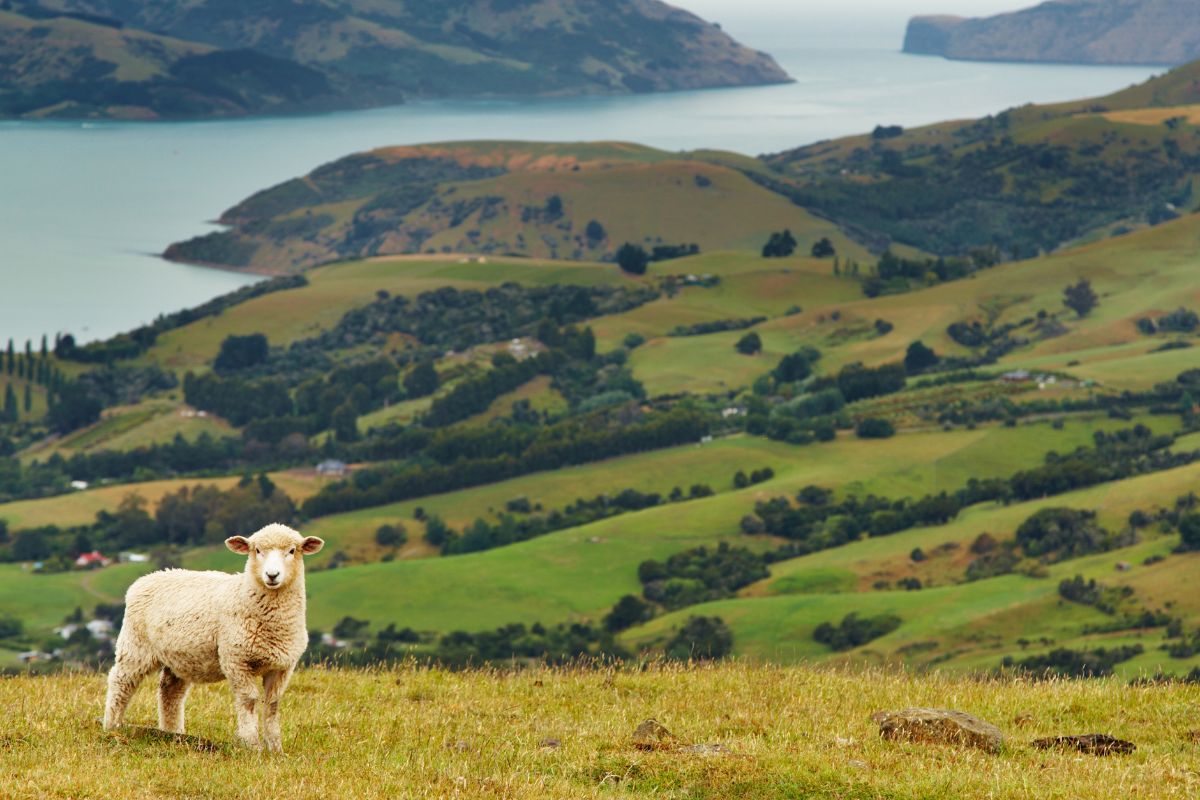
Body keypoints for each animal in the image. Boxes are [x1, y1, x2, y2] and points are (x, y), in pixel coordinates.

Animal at [102, 522, 324, 753]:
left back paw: (174, 733)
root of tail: (146, 578)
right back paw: (112, 726)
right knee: (121, 682)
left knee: (170, 692)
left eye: (292, 550)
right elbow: (249, 700)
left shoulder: (282, 666)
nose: (272, 575)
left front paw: (275, 748)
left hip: (179, 657)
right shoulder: (236, 659)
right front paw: (252, 745)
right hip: (136, 645)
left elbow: (272, 704)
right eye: (257, 550)